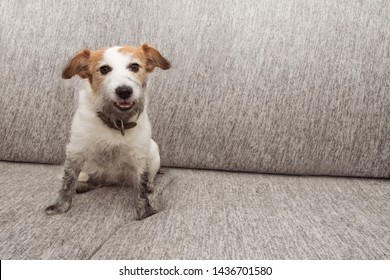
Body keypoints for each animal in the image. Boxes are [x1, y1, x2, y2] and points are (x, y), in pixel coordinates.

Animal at [45, 43, 170, 220]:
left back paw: (150, 185)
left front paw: (144, 210)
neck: (116, 122)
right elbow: (67, 181)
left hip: (153, 152)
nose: (124, 91)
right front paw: (60, 206)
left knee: (150, 177)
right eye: (104, 69)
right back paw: (84, 184)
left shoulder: (139, 156)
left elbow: (141, 185)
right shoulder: (76, 151)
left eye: (134, 66)